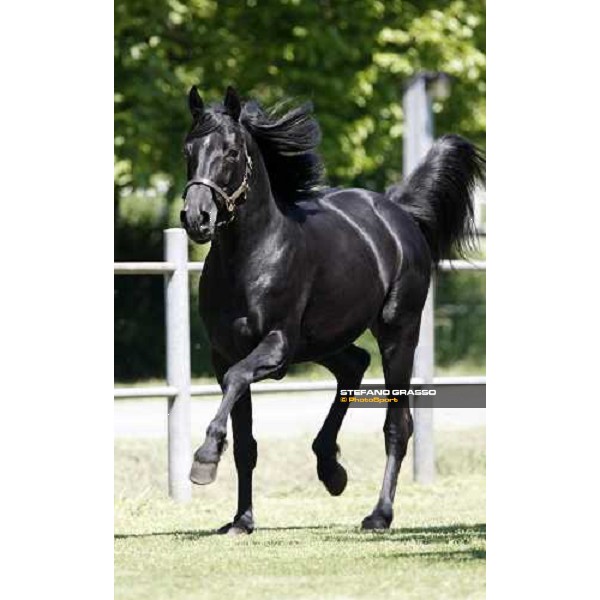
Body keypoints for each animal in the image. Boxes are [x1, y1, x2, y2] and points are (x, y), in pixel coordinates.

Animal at [180, 85, 486, 536]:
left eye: (231, 151)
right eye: (188, 149)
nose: (196, 217)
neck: (250, 257)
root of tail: (396, 212)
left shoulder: (275, 347)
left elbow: (238, 382)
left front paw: (203, 462)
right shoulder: (225, 354)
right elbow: (245, 441)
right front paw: (240, 520)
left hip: (397, 336)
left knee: (397, 425)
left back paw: (378, 514)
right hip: (323, 342)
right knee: (354, 365)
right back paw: (330, 469)